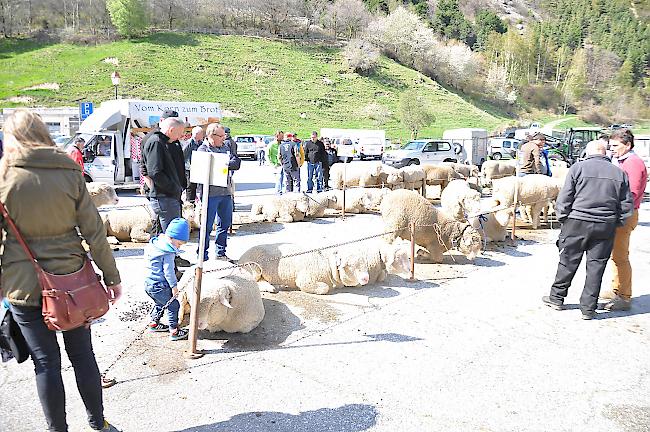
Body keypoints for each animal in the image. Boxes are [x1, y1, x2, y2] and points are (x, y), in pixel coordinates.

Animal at [237, 243, 370, 294]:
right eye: (350, 265)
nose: (366, 278)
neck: (327, 263)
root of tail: (240, 259)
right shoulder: (306, 280)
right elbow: (324, 288)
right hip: (253, 267)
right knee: (254, 281)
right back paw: (270, 287)